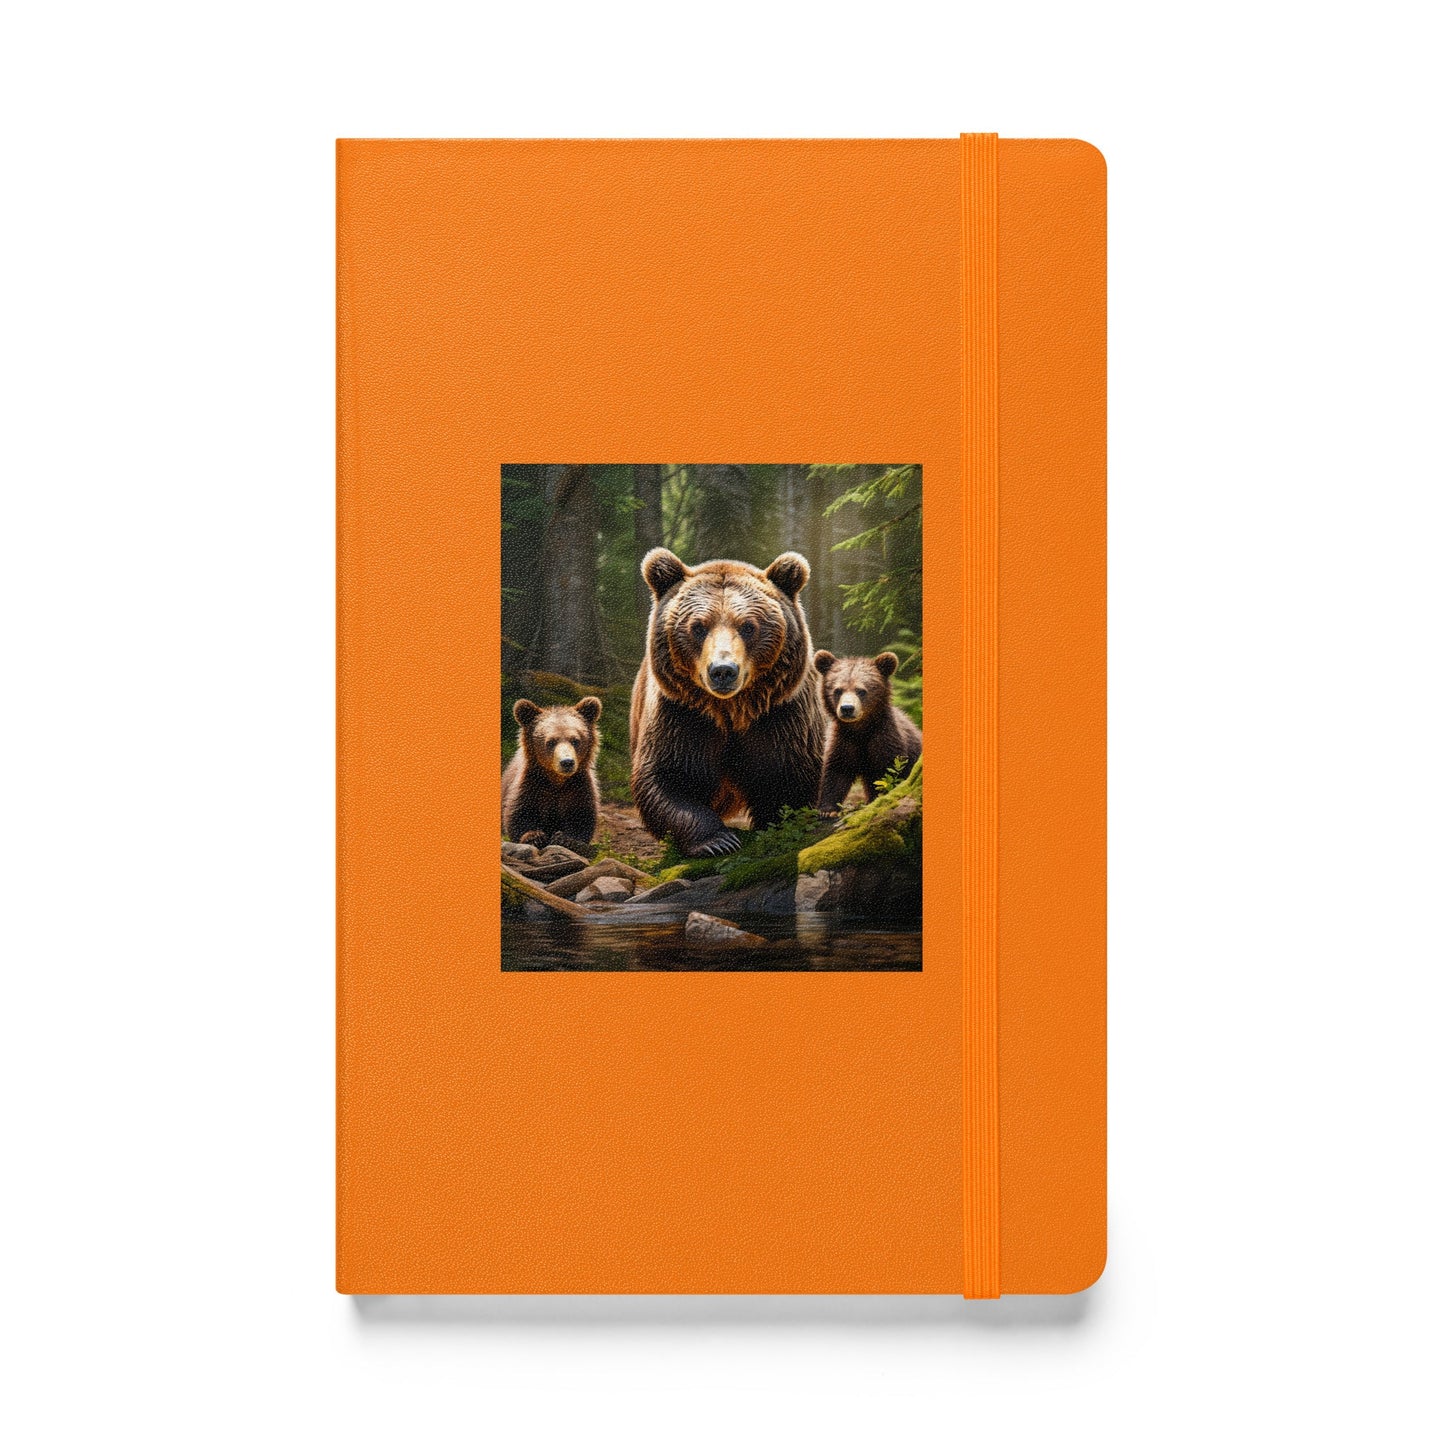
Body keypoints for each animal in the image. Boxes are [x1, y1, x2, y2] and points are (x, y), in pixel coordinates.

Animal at [502, 696, 603, 853]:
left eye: (575, 740)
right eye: (550, 742)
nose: (567, 762)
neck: (556, 780)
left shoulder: (578, 787)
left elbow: (582, 816)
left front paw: (566, 839)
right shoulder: (531, 784)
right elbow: (519, 813)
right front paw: (534, 837)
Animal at [629, 547, 827, 858]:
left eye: (748, 626)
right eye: (698, 627)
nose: (723, 670)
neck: (731, 710)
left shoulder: (780, 714)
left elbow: (788, 777)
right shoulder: (682, 714)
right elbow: (668, 777)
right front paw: (718, 841)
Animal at [813, 651, 922, 815]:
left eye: (861, 690)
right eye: (837, 690)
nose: (847, 708)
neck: (861, 729)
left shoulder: (885, 738)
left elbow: (888, 773)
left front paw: (876, 799)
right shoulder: (843, 740)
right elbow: (836, 772)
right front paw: (828, 809)